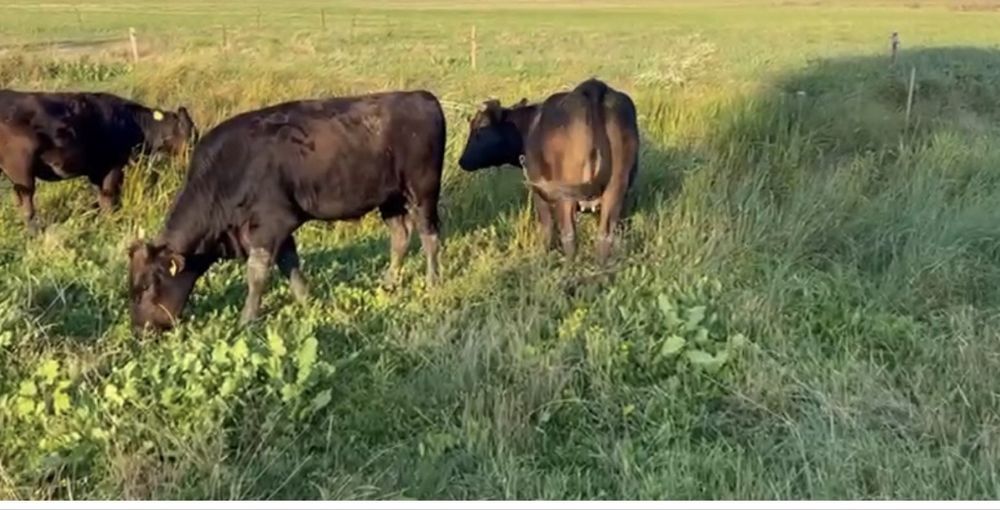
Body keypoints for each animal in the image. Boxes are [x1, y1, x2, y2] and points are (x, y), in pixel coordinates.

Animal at [0, 90, 196, 234]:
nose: (192, 155)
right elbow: (109, 195)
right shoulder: (114, 165)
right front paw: (112, 222)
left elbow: (101, 196)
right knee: (26, 199)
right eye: (190, 133)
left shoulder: (97, 170)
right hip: (22, 170)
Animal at [127, 90, 445, 332]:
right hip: (390, 199)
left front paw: (246, 320)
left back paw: (432, 282)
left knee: (429, 236)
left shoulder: (271, 223)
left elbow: (257, 275)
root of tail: (422, 96)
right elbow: (289, 264)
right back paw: (389, 282)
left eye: (146, 287)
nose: (140, 330)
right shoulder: (276, 227)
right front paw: (307, 300)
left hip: (423, 191)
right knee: (400, 237)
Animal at [458, 78, 639, 263]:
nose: (462, 161)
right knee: (606, 233)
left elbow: (546, 225)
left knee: (569, 233)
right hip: (616, 188)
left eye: (480, 127)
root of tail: (594, 87)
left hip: (565, 193)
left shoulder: (538, 191)